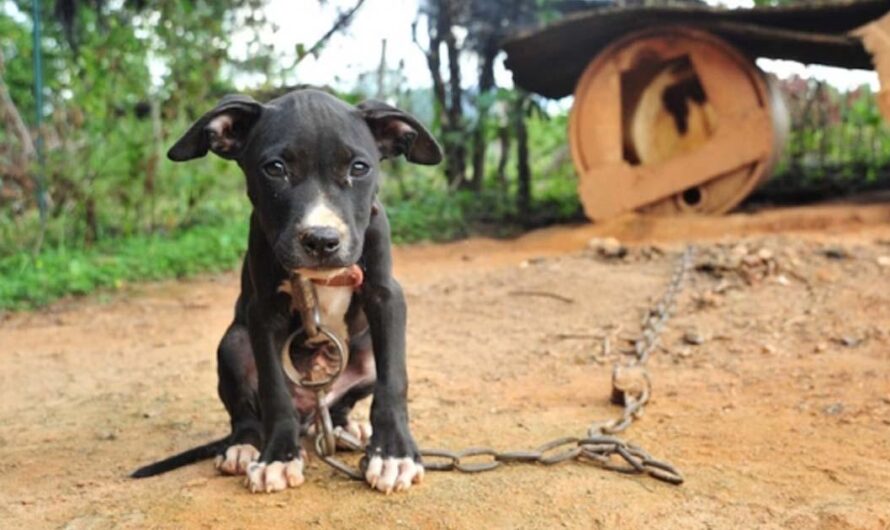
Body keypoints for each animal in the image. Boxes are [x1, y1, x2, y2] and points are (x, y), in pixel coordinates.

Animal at [131, 88, 440, 492]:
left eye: (359, 168)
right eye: (275, 168)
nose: (322, 240)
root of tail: (310, 415)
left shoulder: (385, 296)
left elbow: (394, 380)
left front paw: (393, 454)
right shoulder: (264, 312)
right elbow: (273, 388)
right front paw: (278, 457)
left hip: (363, 353)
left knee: (340, 404)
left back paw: (344, 428)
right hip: (233, 343)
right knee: (247, 414)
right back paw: (243, 446)